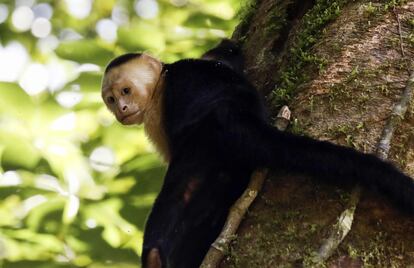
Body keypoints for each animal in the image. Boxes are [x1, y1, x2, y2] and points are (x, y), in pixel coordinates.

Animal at [101, 40, 414, 266]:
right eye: (111, 99)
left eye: (126, 91)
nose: (121, 110)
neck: (161, 81)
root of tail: (240, 120)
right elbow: (228, 51)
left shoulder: (161, 109)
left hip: (205, 151)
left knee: (179, 198)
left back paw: (157, 255)